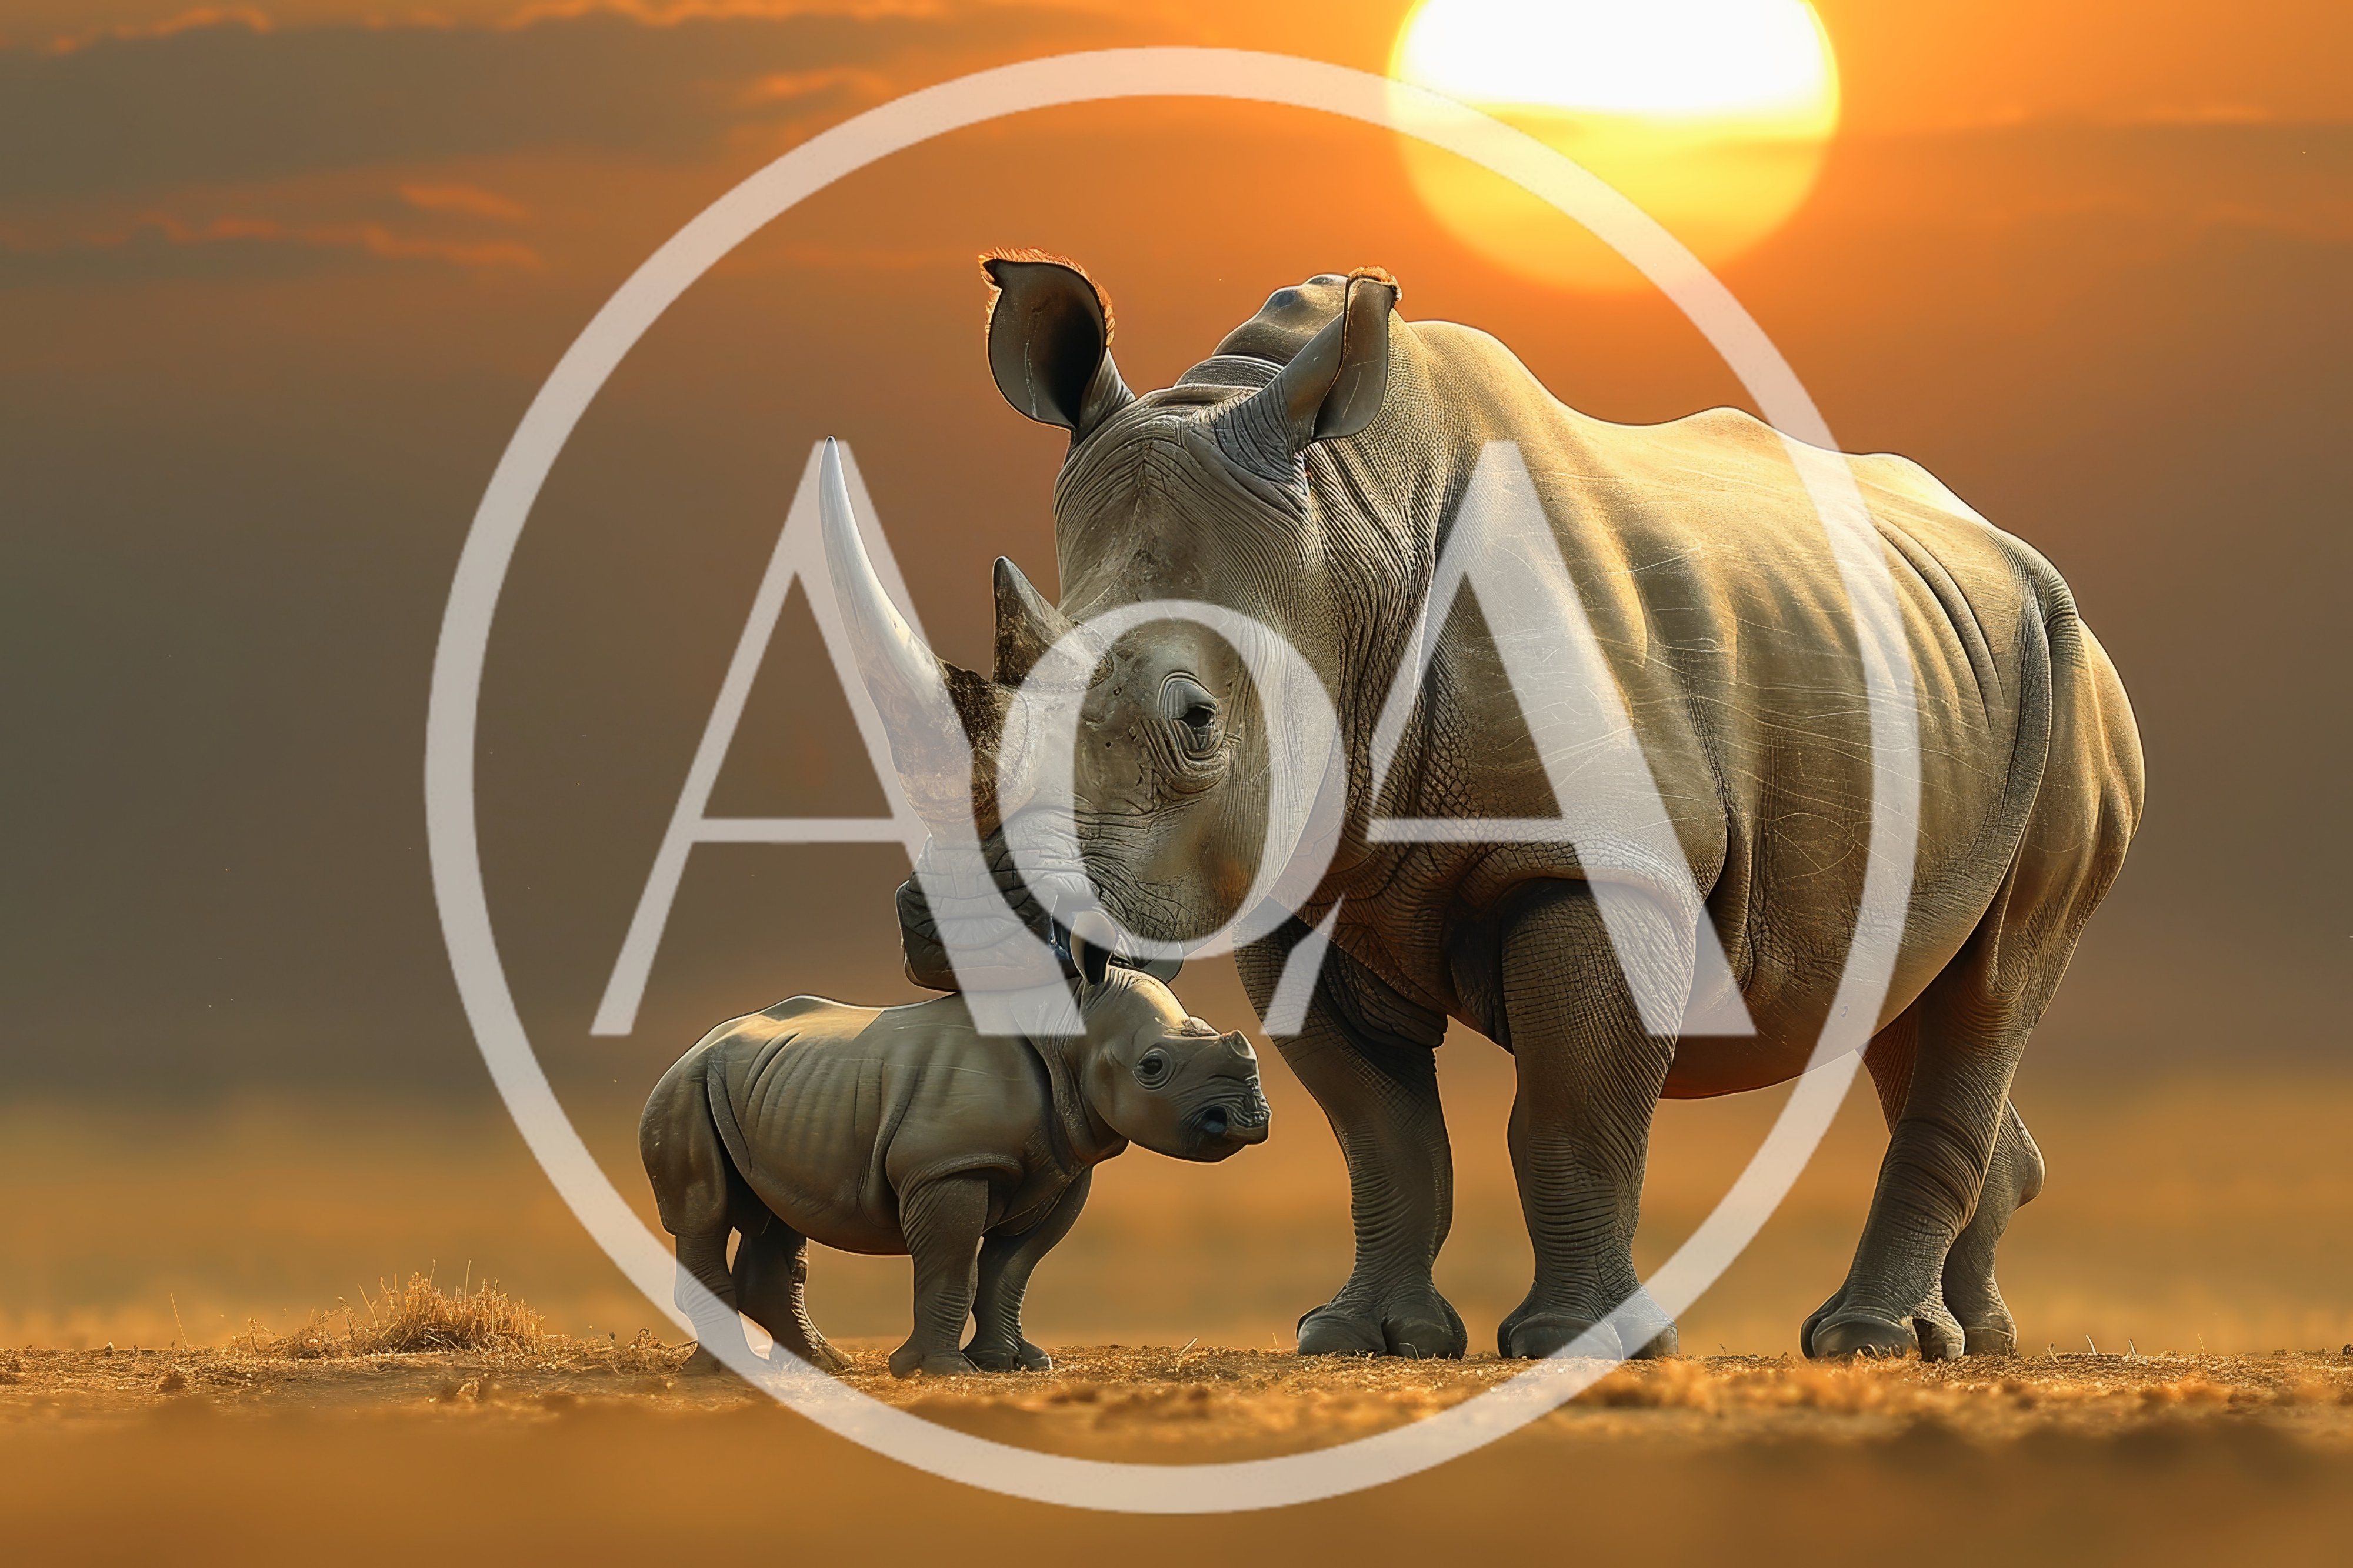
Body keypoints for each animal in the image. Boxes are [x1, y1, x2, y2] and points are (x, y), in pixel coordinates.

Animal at [641, 916, 1269, 1377]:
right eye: (1153, 1067)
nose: (1248, 1121)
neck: (1065, 1032)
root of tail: (701, 1042)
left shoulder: (1063, 1170)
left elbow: (1010, 1271)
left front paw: (1015, 1364)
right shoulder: (949, 1167)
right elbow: (952, 1267)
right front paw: (942, 1370)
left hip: (775, 1091)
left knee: (778, 1214)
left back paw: (822, 1365)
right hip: (684, 1088)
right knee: (705, 1214)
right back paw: (729, 1372)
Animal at [823, 256, 2144, 1363]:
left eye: (1197, 720)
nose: (963, 939)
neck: (1347, 542)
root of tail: (2015, 554)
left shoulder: (1594, 860)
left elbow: (1566, 1110)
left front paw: (1575, 1345)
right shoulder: (1297, 889)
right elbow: (1382, 1131)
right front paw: (1362, 1339)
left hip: (2075, 688)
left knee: (1989, 991)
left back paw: (1870, 1344)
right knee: (1905, 1001)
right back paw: (1975, 1340)